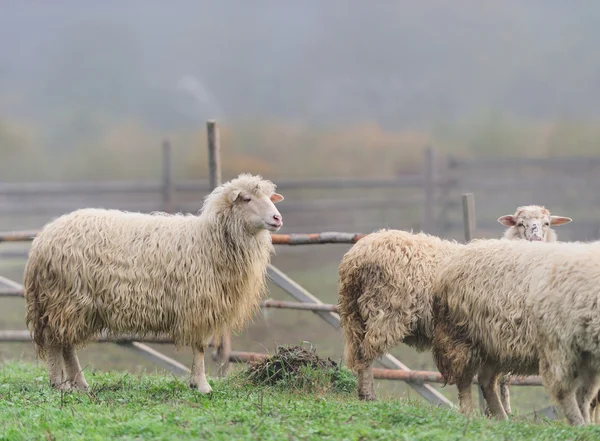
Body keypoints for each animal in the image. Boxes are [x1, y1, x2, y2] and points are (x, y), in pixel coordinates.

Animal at [24, 172, 284, 392]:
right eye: (247, 199)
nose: (277, 218)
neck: (210, 239)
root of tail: (42, 239)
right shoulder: (197, 304)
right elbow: (200, 346)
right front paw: (202, 385)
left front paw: (195, 382)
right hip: (66, 299)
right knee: (57, 342)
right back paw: (61, 383)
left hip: (71, 305)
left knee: (66, 343)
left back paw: (78, 383)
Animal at [434, 239, 600, 424]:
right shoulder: (560, 347)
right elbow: (566, 392)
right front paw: (580, 424)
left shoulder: (588, 359)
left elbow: (584, 396)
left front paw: (587, 423)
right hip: (461, 338)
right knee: (464, 380)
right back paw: (470, 415)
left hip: (494, 347)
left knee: (486, 381)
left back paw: (502, 418)